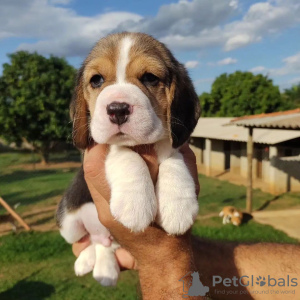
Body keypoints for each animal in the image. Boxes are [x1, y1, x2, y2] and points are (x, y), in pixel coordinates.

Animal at [56, 32, 202, 286]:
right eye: (96, 80)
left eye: (150, 78)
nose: (117, 109)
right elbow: (125, 154)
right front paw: (136, 204)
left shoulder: (176, 145)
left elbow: (173, 159)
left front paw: (178, 206)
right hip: (67, 222)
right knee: (91, 241)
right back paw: (89, 261)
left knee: (105, 244)